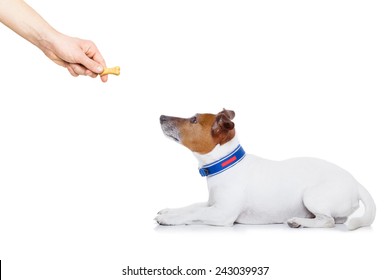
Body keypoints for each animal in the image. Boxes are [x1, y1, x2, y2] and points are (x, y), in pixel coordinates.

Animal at [157, 108, 376, 229]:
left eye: (193, 119)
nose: (161, 116)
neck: (226, 165)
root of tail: (356, 182)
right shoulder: (212, 204)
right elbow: (192, 206)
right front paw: (169, 211)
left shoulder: (222, 214)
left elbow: (194, 213)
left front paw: (168, 219)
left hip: (312, 196)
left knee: (328, 221)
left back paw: (299, 222)